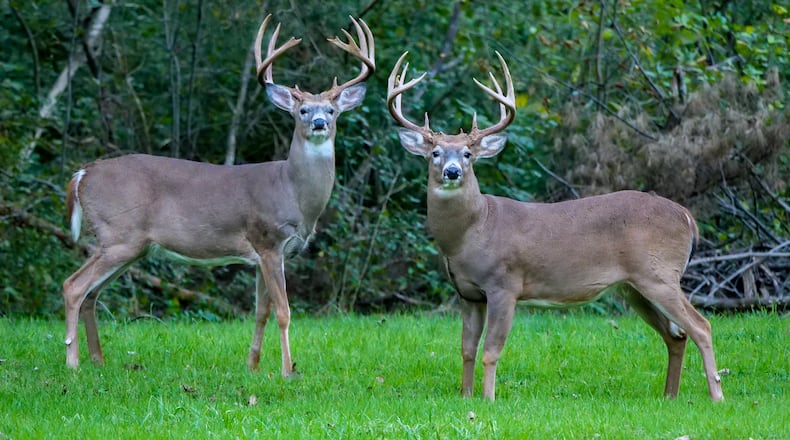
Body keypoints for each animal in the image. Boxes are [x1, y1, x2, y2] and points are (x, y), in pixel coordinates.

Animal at [62, 14, 375, 375]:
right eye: (302, 111)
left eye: (332, 110)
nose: (321, 123)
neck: (293, 192)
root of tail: (83, 174)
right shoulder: (269, 241)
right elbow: (284, 312)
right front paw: (287, 371)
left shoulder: (264, 256)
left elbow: (261, 312)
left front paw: (253, 366)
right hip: (119, 236)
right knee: (74, 287)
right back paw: (73, 364)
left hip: (129, 246)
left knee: (92, 294)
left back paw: (98, 360)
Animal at [386, 51, 724, 402]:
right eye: (435, 153)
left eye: (468, 154)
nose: (452, 171)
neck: (471, 233)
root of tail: (686, 217)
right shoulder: (468, 293)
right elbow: (467, 349)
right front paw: (466, 396)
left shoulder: (505, 284)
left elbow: (491, 350)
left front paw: (488, 399)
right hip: (633, 287)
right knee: (676, 335)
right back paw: (669, 395)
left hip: (659, 274)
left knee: (701, 326)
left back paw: (716, 395)